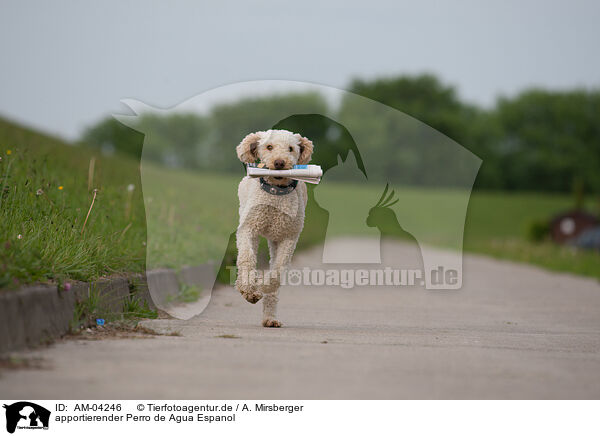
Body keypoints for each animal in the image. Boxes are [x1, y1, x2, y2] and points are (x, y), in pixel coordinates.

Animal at [234, 129, 314, 328]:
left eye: (291, 148)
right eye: (269, 147)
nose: (279, 162)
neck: (276, 193)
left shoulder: (288, 237)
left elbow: (278, 271)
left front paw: (262, 286)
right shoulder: (249, 228)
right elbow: (246, 258)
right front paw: (249, 289)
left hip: (275, 239)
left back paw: (270, 318)